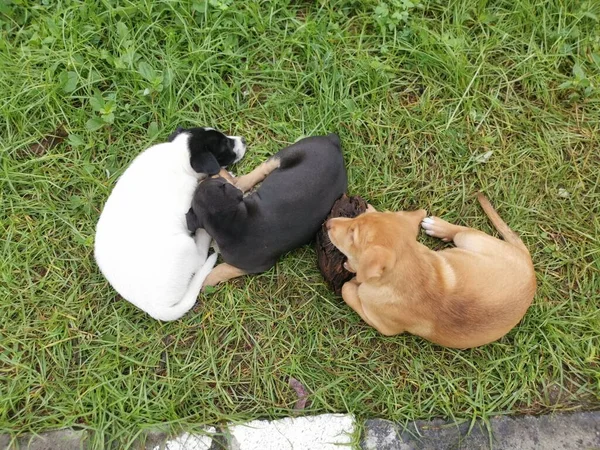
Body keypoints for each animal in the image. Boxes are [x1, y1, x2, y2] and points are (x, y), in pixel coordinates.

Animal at [95, 126, 245, 320]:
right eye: (225, 144)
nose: (243, 140)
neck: (177, 155)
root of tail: (156, 309)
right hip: (184, 245)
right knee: (199, 260)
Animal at [186, 134, 346, 288]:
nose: (203, 180)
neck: (229, 222)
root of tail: (333, 142)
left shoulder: (256, 266)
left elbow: (224, 268)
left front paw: (206, 281)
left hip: (288, 153)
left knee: (256, 172)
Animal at [326, 193, 536, 348]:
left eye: (352, 236)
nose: (327, 223)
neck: (410, 268)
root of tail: (528, 263)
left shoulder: (382, 325)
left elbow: (347, 290)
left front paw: (353, 279)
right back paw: (438, 227)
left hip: (469, 239)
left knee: (460, 231)